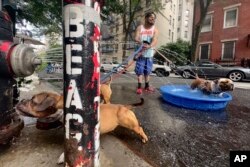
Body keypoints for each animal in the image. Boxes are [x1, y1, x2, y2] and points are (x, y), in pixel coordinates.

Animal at [16, 91, 148, 144]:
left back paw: (144, 138)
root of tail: (124, 106)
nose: (21, 100)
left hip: (130, 124)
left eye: (33, 101)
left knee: (139, 129)